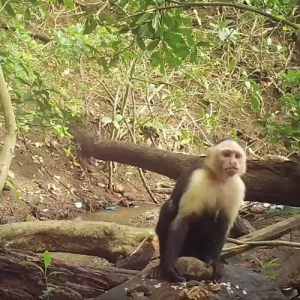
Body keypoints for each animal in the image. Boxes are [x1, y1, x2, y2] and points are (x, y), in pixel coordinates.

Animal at [149, 137, 247, 282]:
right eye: (226, 154)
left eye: (237, 156)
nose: (233, 162)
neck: (219, 179)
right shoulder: (198, 179)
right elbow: (184, 220)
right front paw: (169, 266)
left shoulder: (238, 187)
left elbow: (224, 224)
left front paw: (214, 260)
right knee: (170, 207)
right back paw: (161, 266)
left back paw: (205, 257)